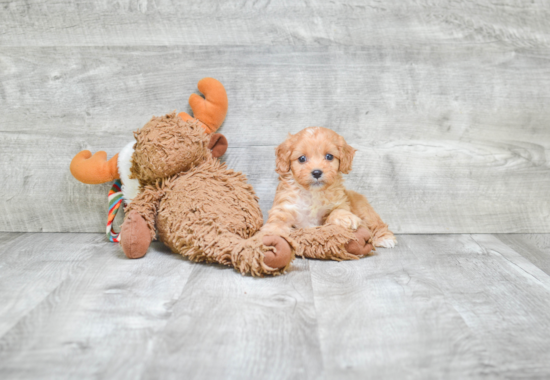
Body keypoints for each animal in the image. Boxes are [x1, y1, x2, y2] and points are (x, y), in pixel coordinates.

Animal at [264, 126, 396, 254]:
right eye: (302, 158)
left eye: (329, 156)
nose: (317, 172)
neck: (313, 193)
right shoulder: (284, 208)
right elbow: (276, 223)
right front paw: (271, 236)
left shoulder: (340, 203)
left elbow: (336, 211)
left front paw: (345, 218)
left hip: (365, 211)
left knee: (377, 224)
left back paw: (385, 238)